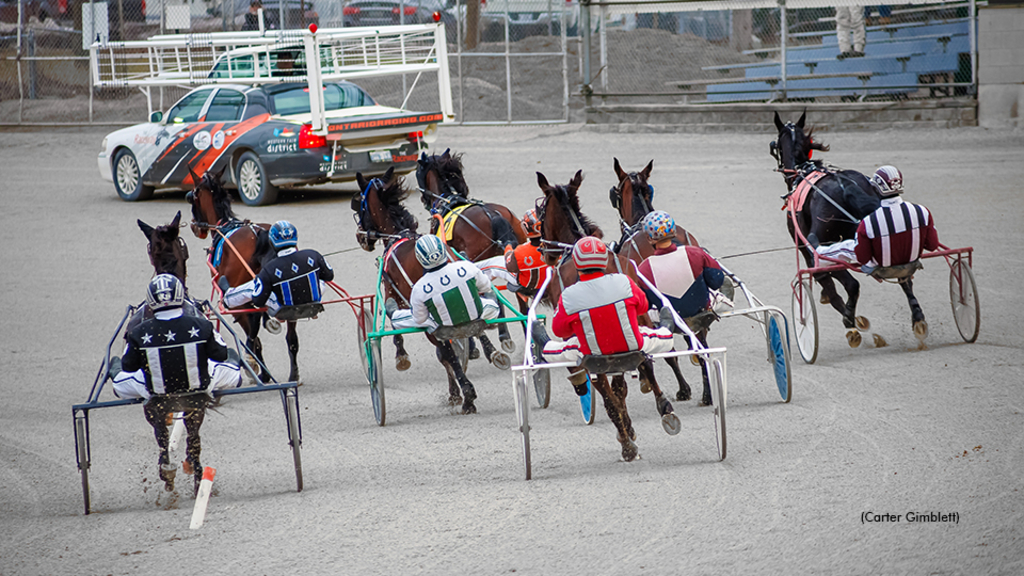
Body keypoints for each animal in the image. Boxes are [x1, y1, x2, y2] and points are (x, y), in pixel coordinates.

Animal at [182, 166, 307, 381]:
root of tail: (261, 234)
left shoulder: (238, 305)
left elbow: (254, 336)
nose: (195, 227)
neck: (224, 226)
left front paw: (257, 369)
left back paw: (258, 368)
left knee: (254, 334)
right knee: (291, 337)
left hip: (239, 302)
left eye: (192, 196)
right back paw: (293, 374)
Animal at [354, 166, 505, 412]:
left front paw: (401, 355)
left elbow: (397, 325)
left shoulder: (393, 292)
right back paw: (491, 353)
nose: (361, 237)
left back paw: (467, 392)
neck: (399, 235)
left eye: (360, 205)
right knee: (472, 328)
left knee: (445, 351)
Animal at [536, 168, 679, 459]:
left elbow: (608, 389)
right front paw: (629, 424)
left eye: (541, 212)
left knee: (603, 387)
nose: (543, 250)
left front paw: (625, 431)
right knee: (644, 362)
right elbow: (621, 385)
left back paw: (626, 439)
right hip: (637, 320)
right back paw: (663, 405)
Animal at [770, 112, 892, 344]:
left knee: (847, 282)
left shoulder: (804, 245)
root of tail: (845, 186)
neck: (802, 172)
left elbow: (825, 280)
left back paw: (850, 319)